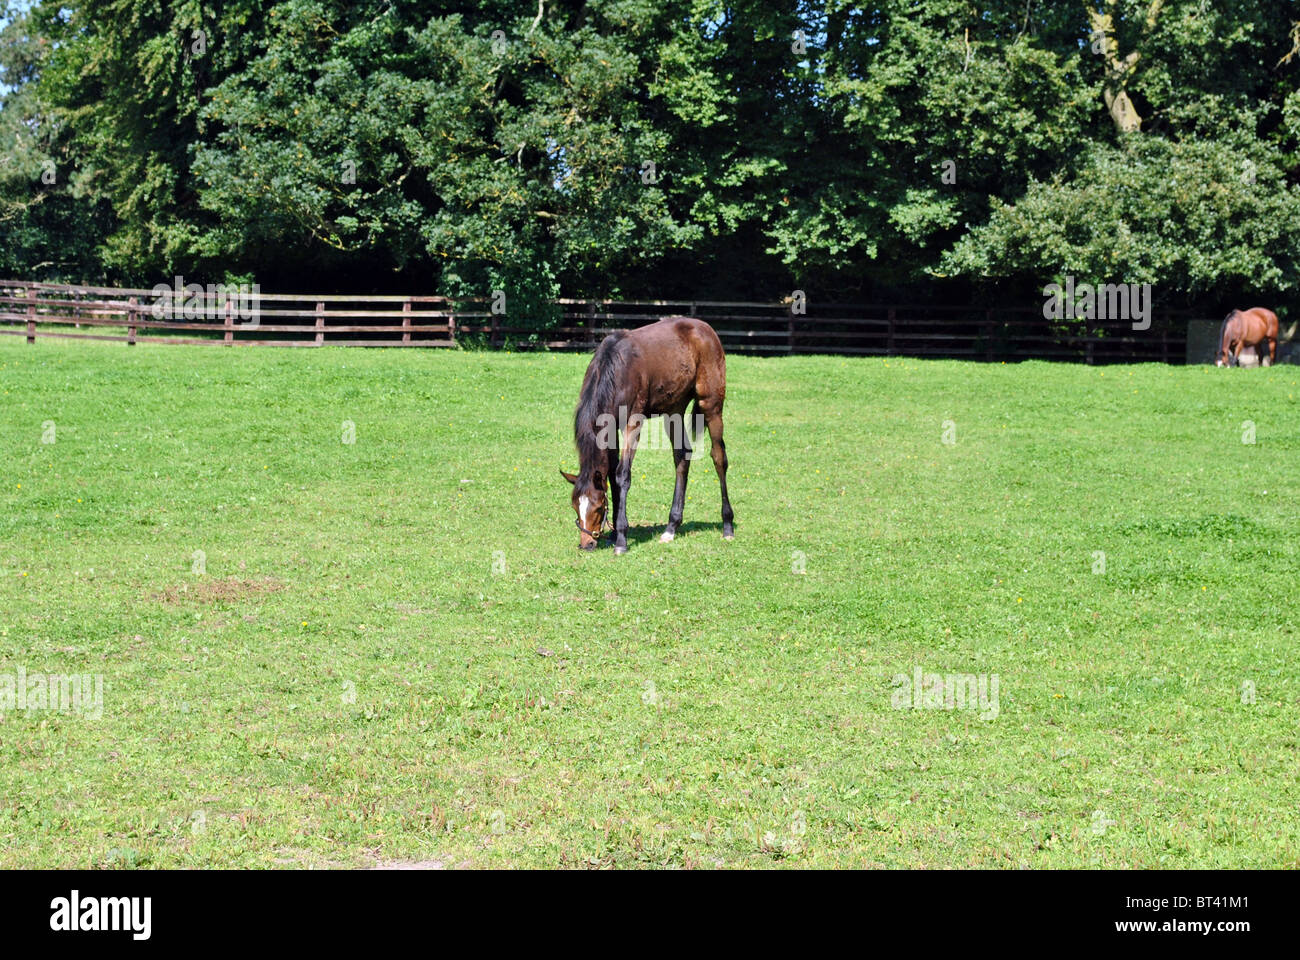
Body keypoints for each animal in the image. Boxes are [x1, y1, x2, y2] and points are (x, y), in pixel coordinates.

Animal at [564, 316, 738, 554]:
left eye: (598, 507)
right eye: (575, 506)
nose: (587, 544)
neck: (616, 369)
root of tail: (706, 329)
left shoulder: (632, 423)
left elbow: (622, 475)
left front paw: (621, 539)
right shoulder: (611, 426)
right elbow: (612, 475)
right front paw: (614, 534)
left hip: (711, 404)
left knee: (719, 457)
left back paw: (727, 525)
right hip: (673, 410)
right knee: (682, 456)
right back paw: (671, 527)